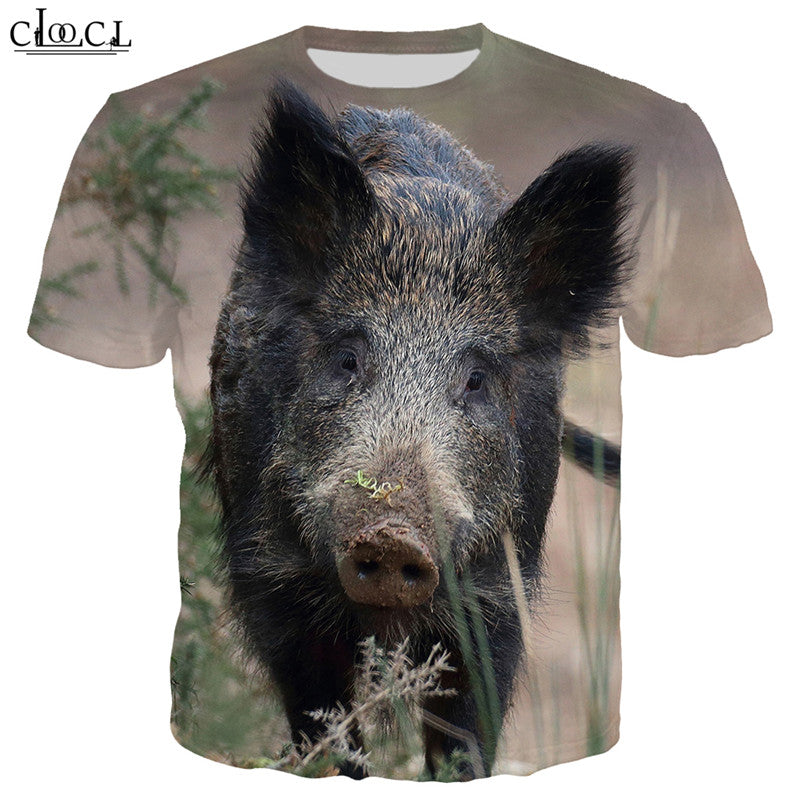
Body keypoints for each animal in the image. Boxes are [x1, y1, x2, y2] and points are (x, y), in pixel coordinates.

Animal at [205, 79, 634, 779]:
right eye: (347, 359)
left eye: (477, 379)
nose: (391, 533)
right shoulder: (272, 578)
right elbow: (323, 719)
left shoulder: (496, 593)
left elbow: (466, 727)